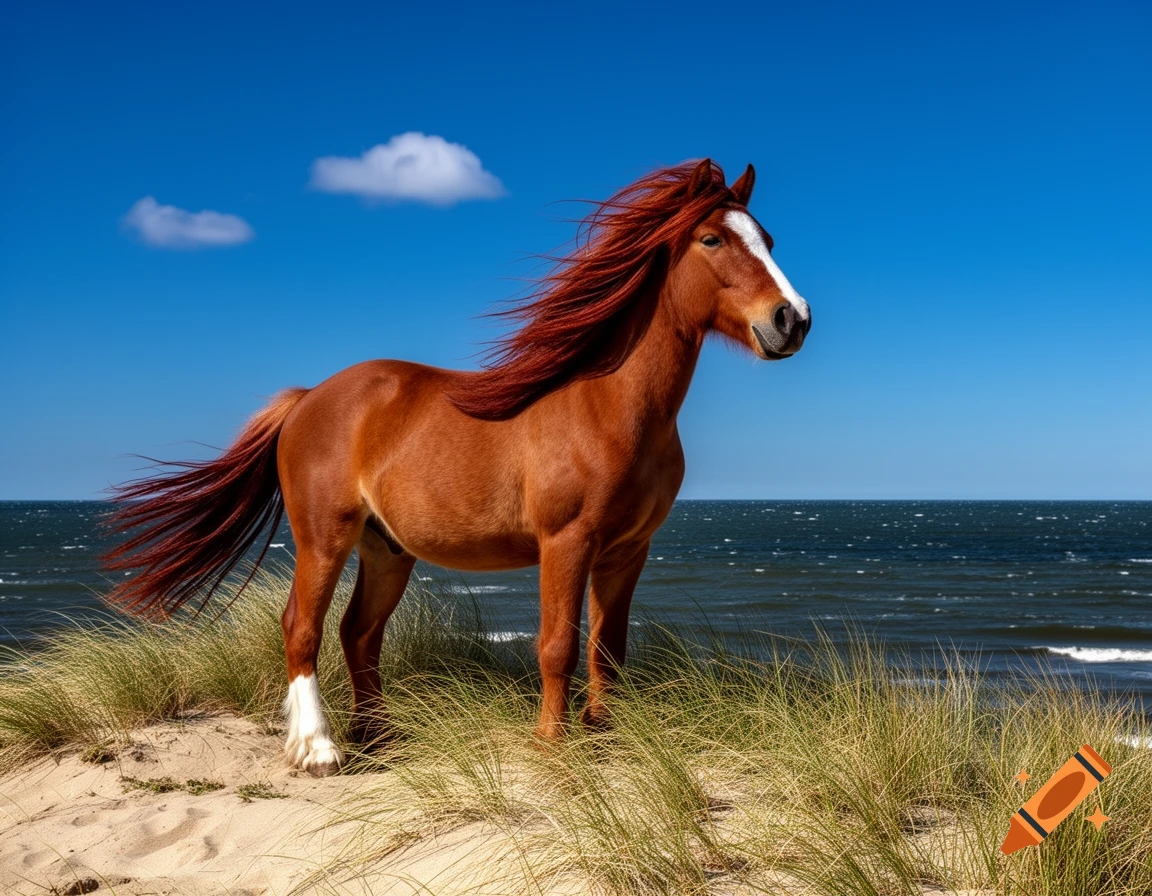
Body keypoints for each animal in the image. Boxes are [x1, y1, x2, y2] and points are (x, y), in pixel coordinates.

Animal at [103, 158, 812, 776]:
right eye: (712, 238)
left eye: (769, 239)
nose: (792, 320)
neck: (611, 406)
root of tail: (308, 399)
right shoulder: (567, 542)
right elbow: (557, 646)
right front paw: (554, 746)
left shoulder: (626, 551)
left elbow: (608, 650)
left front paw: (603, 737)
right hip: (324, 539)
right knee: (302, 628)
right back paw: (320, 749)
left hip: (387, 550)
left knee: (358, 633)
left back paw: (379, 737)